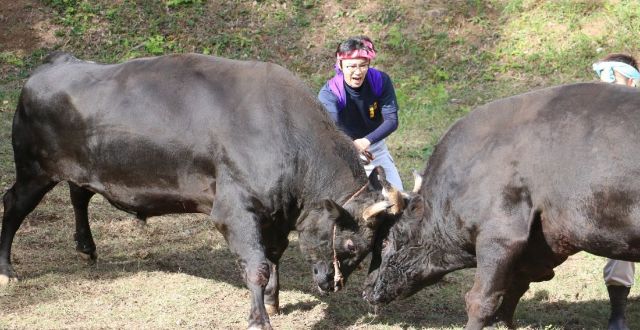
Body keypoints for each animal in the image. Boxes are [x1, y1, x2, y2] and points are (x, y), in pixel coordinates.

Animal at [0, 52, 400, 328]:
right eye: (351, 245)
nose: (331, 285)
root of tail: (55, 62)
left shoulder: (275, 214)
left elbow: (273, 254)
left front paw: (273, 301)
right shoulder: (234, 210)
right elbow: (256, 265)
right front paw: (259, 318)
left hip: (82, 168)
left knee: (79, 194)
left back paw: (86, 248)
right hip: (33, 169)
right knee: (13, 203)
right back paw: (7, 269)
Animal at [368, 82, 640, 328]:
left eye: (385, 242)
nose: (367, 289)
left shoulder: (501, 235)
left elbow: (480, 300)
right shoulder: (541, 246)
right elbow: (514, 288)